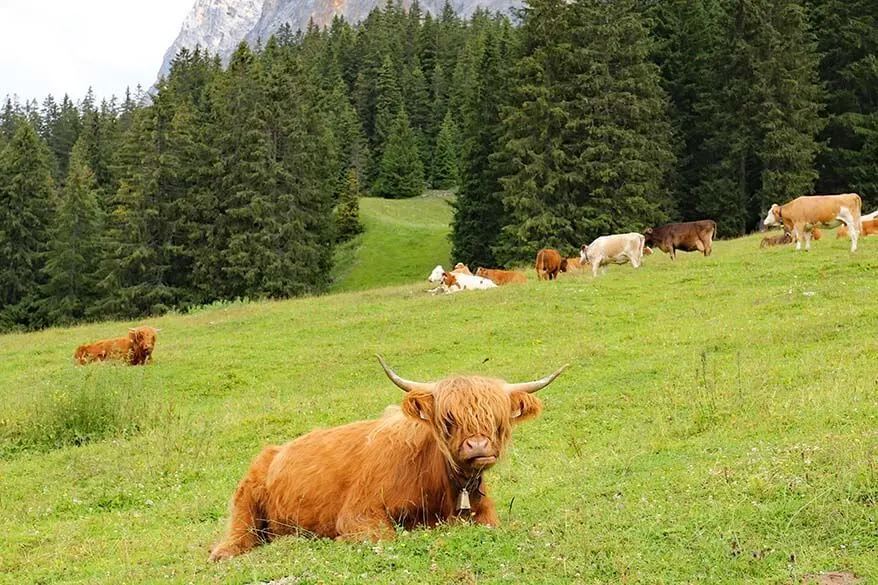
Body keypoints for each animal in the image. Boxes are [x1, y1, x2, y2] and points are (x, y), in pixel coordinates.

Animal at [211, 354, 576, 560]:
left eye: (497, 420)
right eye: (448, 419)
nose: (478, 447)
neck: (440, 487)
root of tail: (274, 450)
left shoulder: (485, 515)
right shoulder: (359, 514)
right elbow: (387, 536)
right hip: (246, 502)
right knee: (240, 535)